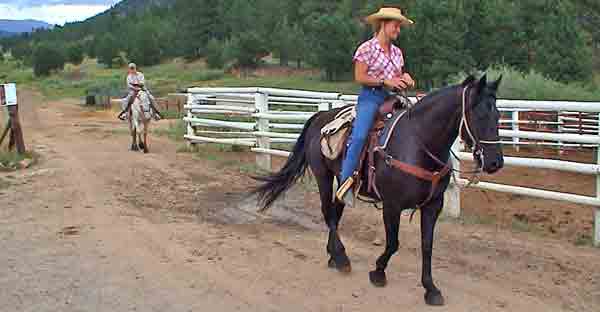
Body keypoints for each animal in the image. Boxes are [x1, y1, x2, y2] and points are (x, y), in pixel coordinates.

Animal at [252, 74, 502, 306]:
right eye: (480, 115)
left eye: (498, 115)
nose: (495, 162)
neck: (418, 143)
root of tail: (320, 118)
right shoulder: (392, 205)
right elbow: (393, 243)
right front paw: (378, 272)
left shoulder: (433, 206)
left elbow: (427, 246)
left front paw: (431, 289)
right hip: (323, 175)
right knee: (328, 213)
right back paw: (341, 258)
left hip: (343, 182)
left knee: (336, 211)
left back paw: (334, 256)